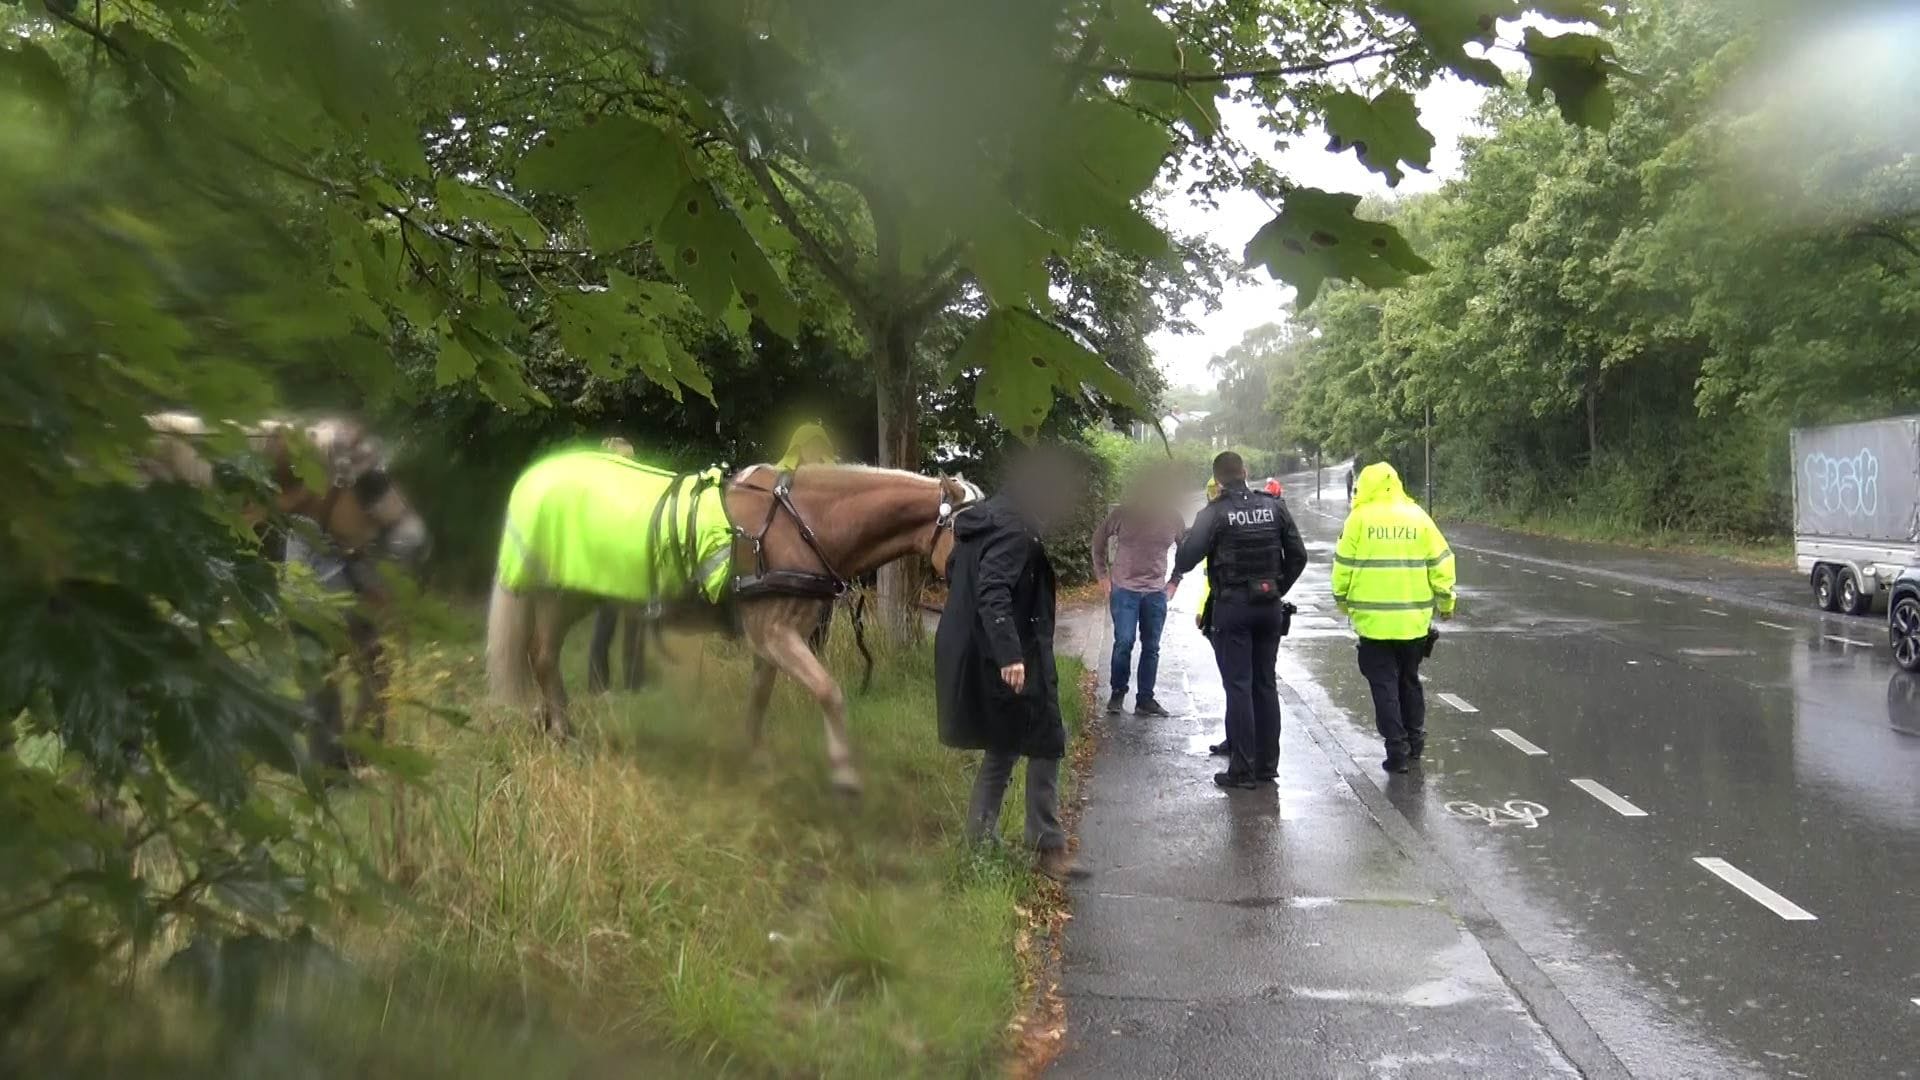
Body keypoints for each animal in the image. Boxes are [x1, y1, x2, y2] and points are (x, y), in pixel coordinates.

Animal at [487, 445, 983, 791]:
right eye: (975, 532)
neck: (798, 526)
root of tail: (538, 480)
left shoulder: (773, 638)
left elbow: (760, 696)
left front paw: (753, 755)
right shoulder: (776, 633)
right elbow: (829, 691)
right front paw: (843, 772)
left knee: (541, 654)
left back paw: (554, 723)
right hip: (560, 594)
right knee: (542, 655)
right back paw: (563, 731)